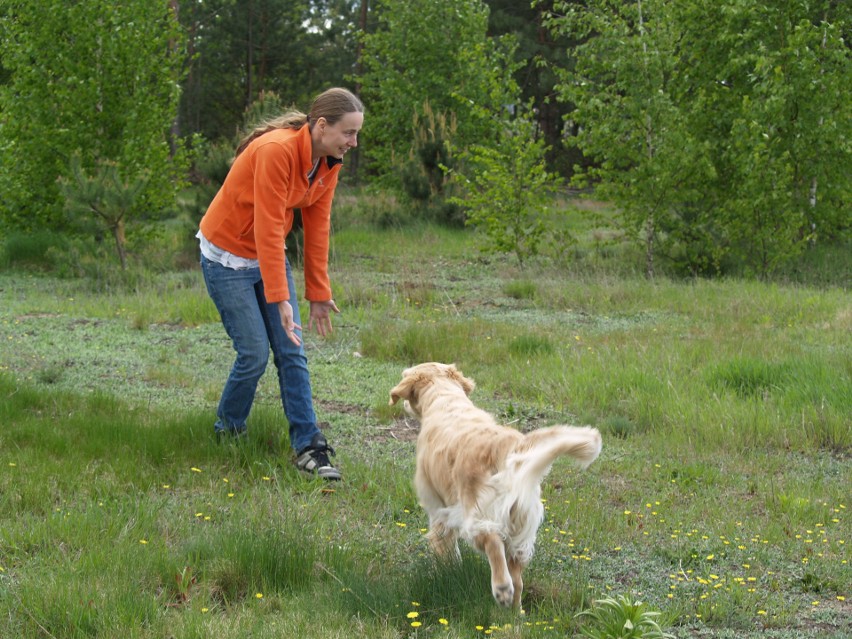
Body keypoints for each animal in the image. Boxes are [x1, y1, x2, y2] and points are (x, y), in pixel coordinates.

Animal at [390, 362, 604, 608]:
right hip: (521, 523)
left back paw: (501, 588)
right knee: (517, 578)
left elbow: (445, 544)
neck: (444, 398)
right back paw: (515, 610)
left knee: (492, 543)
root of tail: (509, 449)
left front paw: (447, 567)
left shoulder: (438, 507)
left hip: (478, 513)